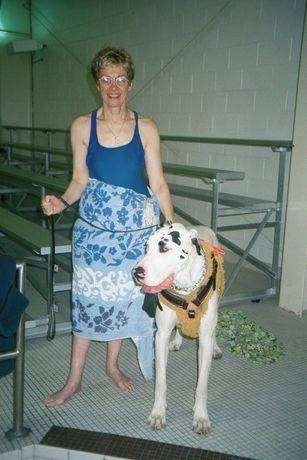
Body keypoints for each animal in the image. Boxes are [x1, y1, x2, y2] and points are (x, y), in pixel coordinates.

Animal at [133, 223, 226, 434]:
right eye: (146, 248)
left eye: (164, 248)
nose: (136, 272)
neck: (185, 288)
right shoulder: (160, 337)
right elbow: (161, 381)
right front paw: (158, 413)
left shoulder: (204, 341)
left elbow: (201, 386)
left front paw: (201, 417)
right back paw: (177, 341)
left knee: (214, 329)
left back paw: (216, 347)